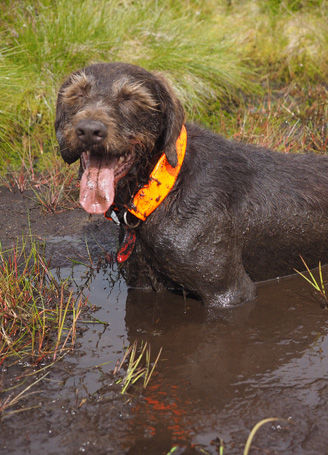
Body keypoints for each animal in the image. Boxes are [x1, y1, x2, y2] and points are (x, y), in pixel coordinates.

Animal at [55, 62, 328, 316]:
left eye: (131, 98)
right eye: (77, 93)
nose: (89, 130)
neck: (163, 189)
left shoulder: (229, 292)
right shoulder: (141, 285)